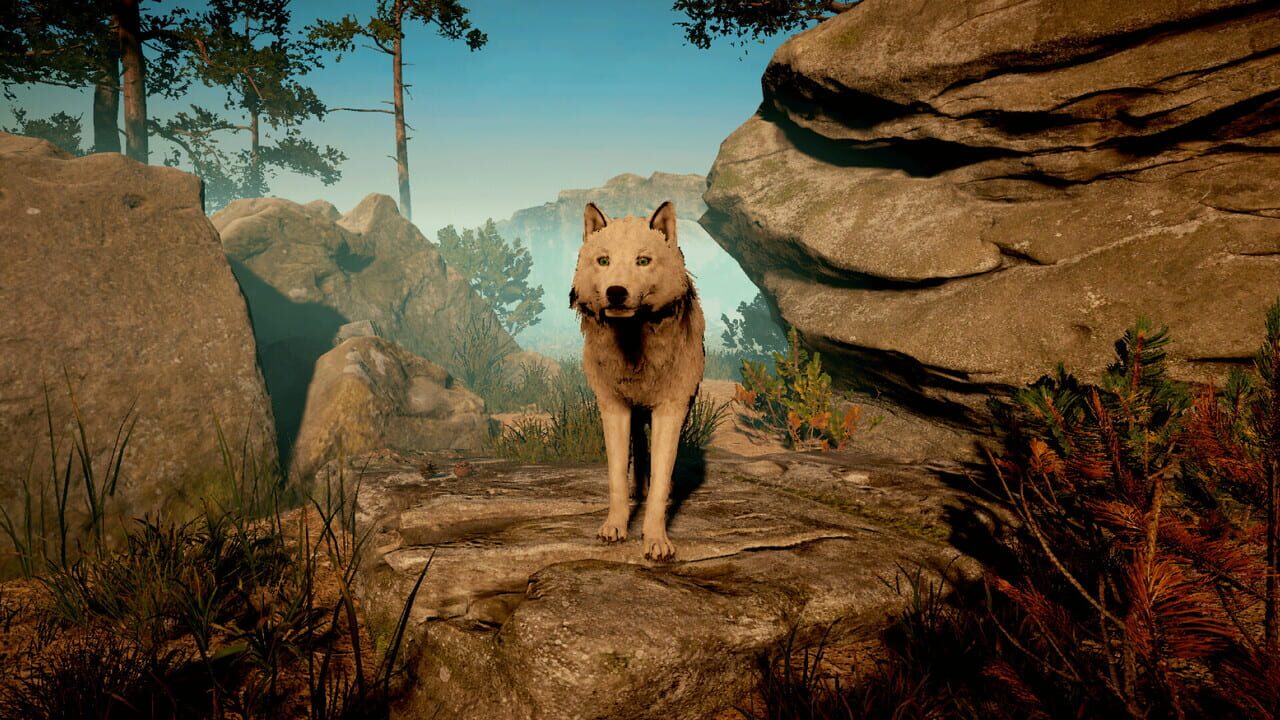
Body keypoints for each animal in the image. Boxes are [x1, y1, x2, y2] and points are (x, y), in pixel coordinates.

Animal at [570, 201, 705, 561]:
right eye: (603, 261)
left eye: (643, 261)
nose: (616, 292)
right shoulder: (614, 407)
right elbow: (617, 474)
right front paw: (614, 526)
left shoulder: (671, 410)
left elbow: (660, 478)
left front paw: (656, 539)